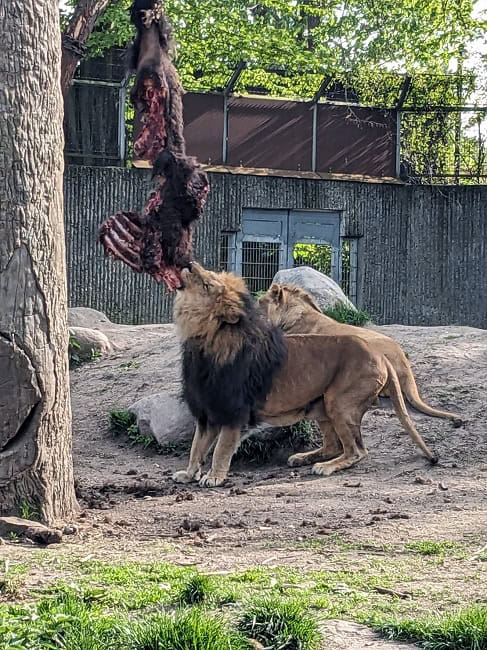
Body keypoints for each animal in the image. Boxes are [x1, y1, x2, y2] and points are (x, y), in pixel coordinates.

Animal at [172, 262, 437, 488]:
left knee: (356, 451)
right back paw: (303, 458)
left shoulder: (233, 411)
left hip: (339, 403)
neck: (200, 340)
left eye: (207, 284)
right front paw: (188, 473)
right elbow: (196, 447)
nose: (190, 264)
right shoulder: (206, 411)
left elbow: (220, 448)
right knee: (333, 445)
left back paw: (325, 467)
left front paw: (214, 477)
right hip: (321, 407)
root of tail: (382, 355)